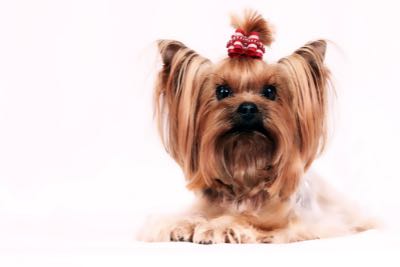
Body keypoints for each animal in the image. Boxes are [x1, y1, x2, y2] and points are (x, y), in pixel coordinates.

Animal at [142, 9, 376, 244]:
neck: (246, 165)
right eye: (222, 91)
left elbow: (252, 219)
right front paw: (182, 224)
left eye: (270, 91)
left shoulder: (299, 222)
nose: (247, 108)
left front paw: (216, 227)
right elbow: (190, 215)